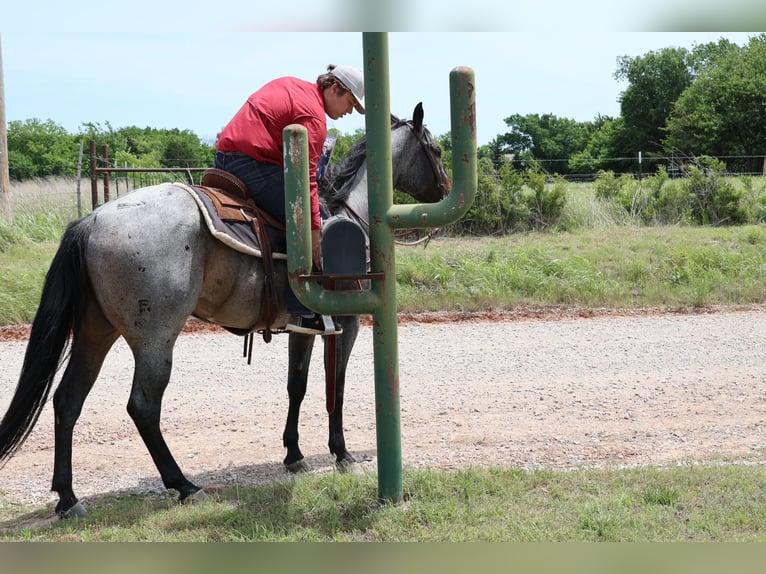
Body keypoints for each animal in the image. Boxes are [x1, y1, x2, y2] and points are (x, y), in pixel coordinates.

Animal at [0, 103, 450, 518]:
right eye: (436, 149)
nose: (447, 189)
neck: (346, 214)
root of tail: (91, 220)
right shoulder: (347, 323)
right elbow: (335, 388)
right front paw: (341, 453)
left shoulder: (303, 328)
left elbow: (297, 386)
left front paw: (294, 454)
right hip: (155, 339)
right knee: (142, 406)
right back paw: (183, 485)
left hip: (96, 333)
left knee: (67, 400)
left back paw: (68, 498)